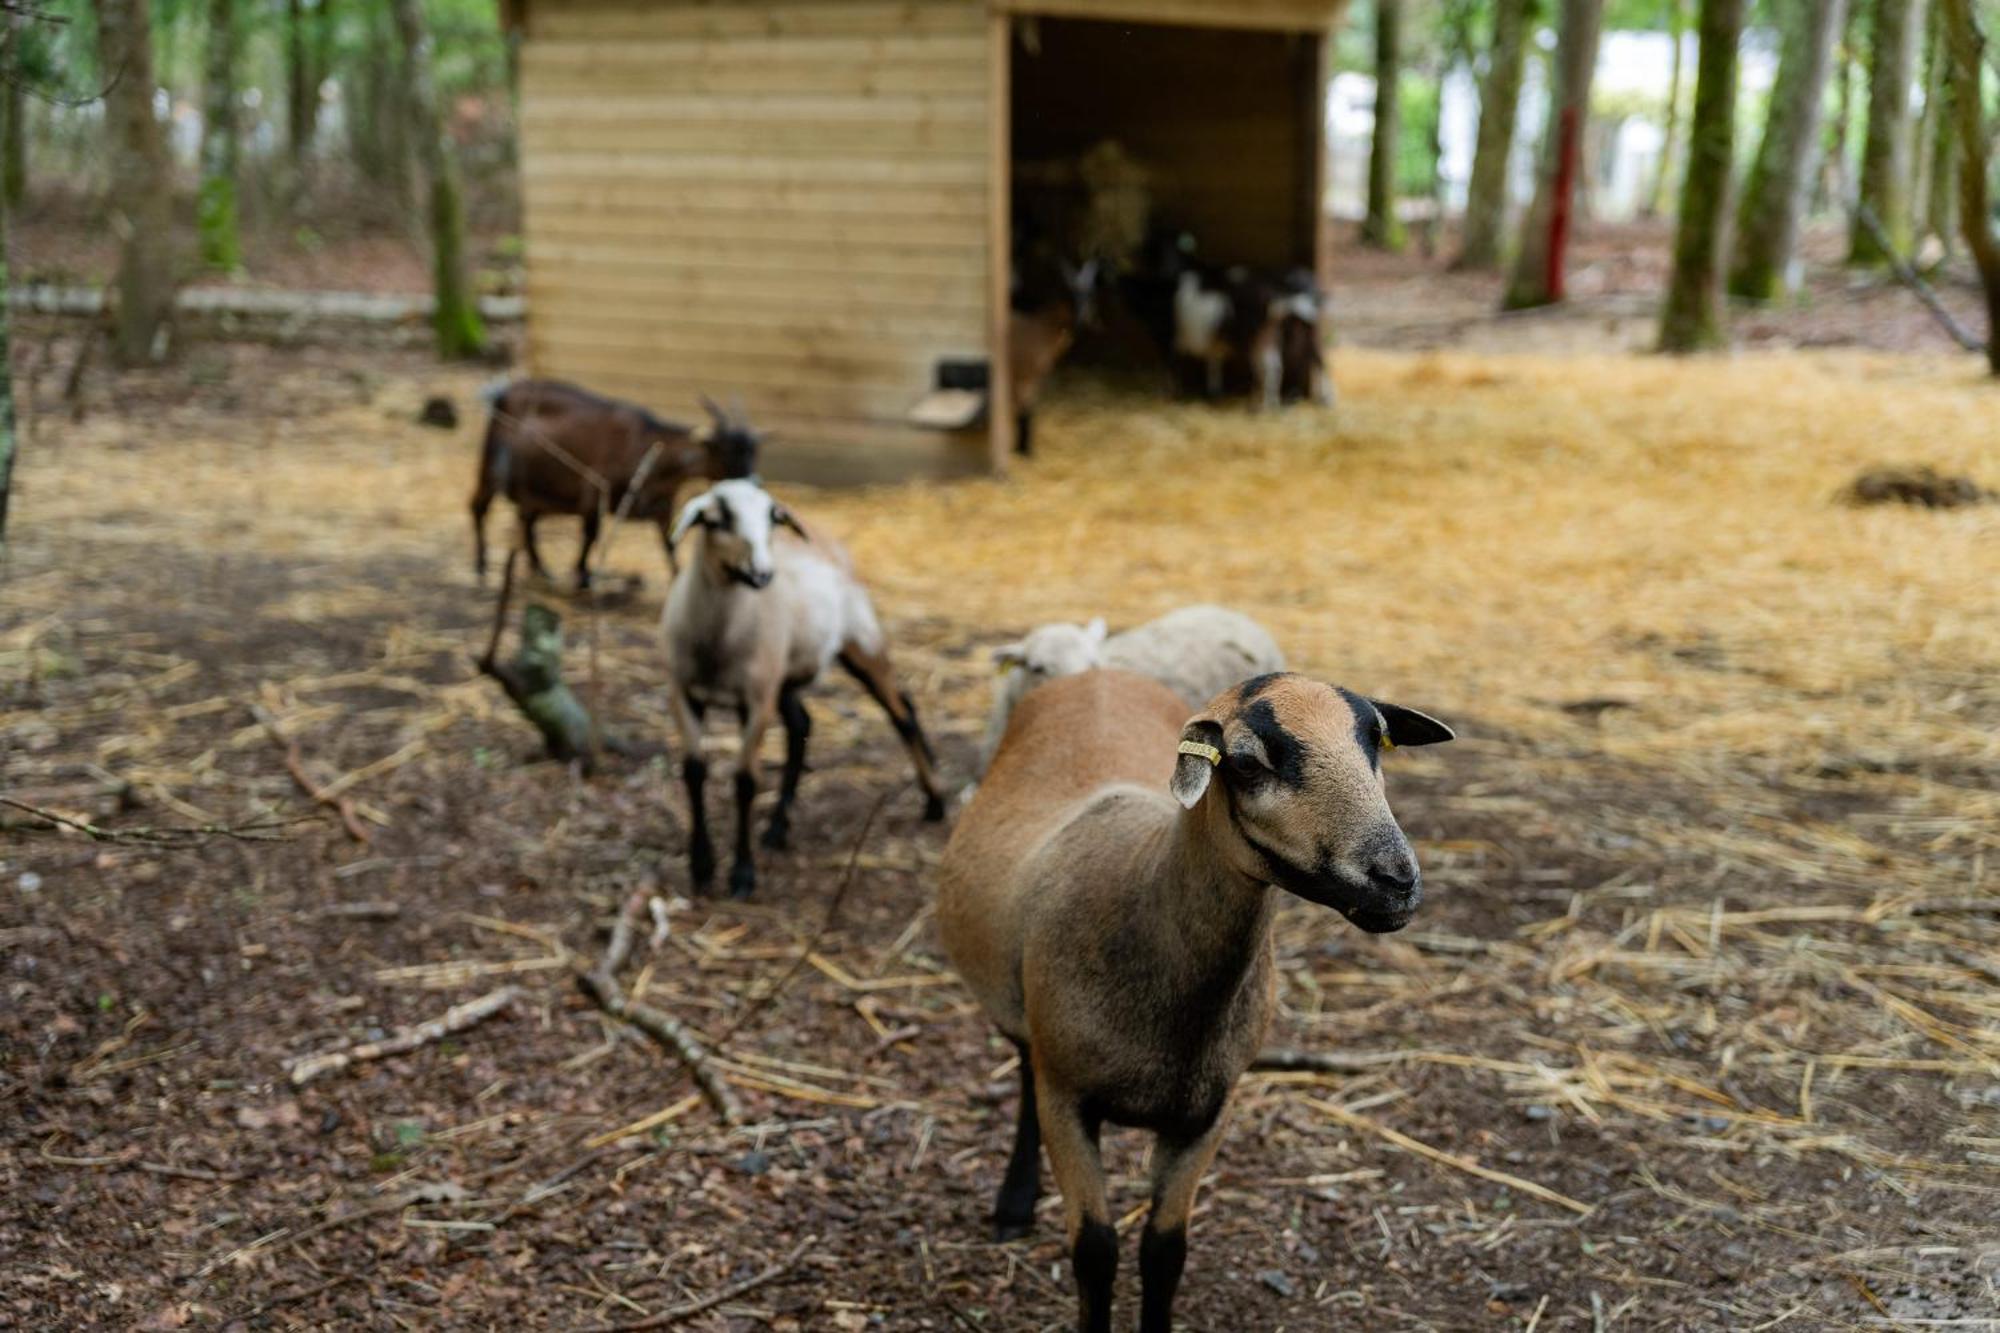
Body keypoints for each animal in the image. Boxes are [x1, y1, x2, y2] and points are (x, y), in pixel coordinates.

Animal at [464, 378, 760, 588]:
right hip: (491, 467)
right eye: (726, 451)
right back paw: (480, 565)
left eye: (753, 451)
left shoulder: (662, 509)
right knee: (479, 506)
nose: (753, 482)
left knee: (527, 523)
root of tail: (503, 394)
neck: (645, 446)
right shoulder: (593, 492)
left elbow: (670, 544)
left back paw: (542, 569)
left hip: (535, 490)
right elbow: (591, 534)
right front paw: (583, 576)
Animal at [660, 478, 948, 892]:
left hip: (862, 643)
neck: (717, 639)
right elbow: (694, 772)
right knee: (802, 725)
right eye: (718, 520)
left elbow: (746, 781)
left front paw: (742, 873)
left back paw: (936, 801)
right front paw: (702, 866)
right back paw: (777, 829)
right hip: (784, 676)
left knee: (902, 710)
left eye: (771, 520)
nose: (763, 575)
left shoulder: (758, 699)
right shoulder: (683, 694)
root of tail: (827, 540)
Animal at [936, 668, 1456, 1320]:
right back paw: (1013, 1203)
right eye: (1248, 763)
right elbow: (1095, 1251)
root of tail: (1099, 672)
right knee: (1027, 1072)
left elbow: (1165, 1252)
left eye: (1377, 743)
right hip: (1027, 1022)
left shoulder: (1209, 1112)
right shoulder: (1068, 1103)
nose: (1396, 880)